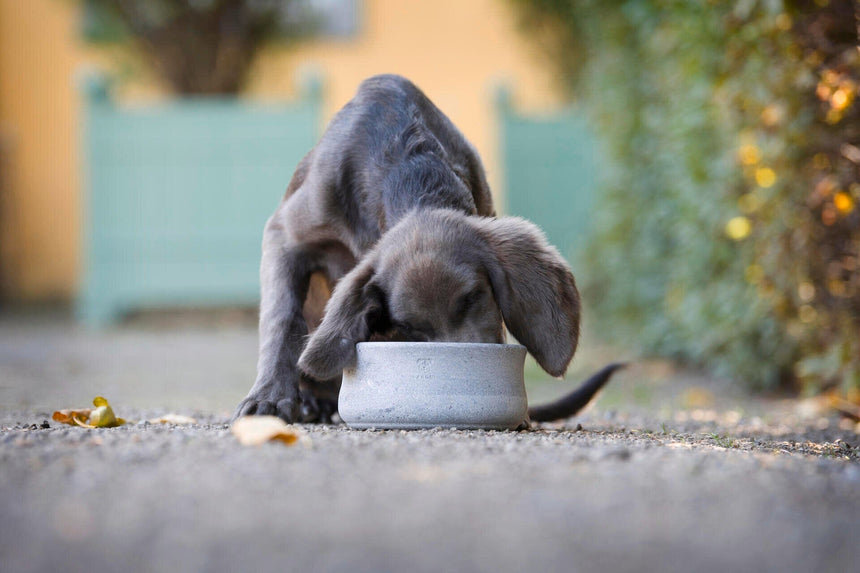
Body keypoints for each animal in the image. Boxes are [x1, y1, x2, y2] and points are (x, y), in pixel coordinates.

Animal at [232, 75, 620, 424]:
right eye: (411, 327)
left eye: (474, 297)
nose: (465, 382)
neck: (408, 162)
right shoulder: (285, 234)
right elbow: (282, 319)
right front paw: (269, 398)